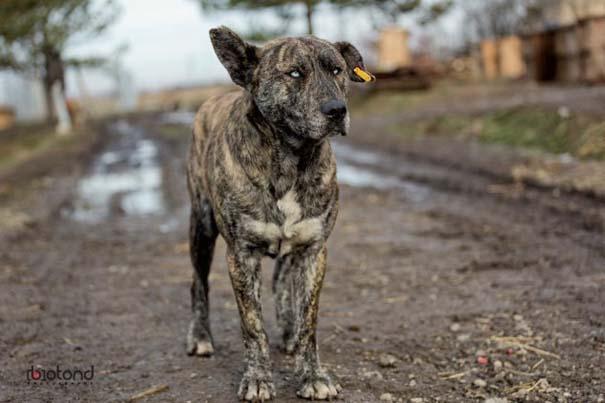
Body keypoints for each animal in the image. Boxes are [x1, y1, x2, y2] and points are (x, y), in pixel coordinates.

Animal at [185, 26, 372, 402]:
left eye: (337, 70)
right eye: (295, 73)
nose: (337, 110)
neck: (291, 158)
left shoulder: (314, 252)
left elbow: (308, 321)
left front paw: (311, 373)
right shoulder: (241, 256)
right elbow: (253, 326)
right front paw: (257, 378)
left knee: (281, 282)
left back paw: (287, 333)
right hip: (201, 227)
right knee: (198, 284)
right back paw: (200, 337)